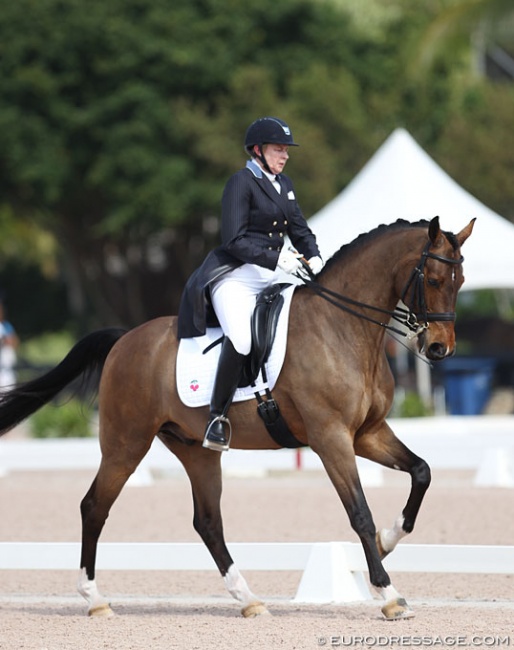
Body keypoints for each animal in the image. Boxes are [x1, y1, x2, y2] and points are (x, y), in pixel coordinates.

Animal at [0, 216, 472, 616]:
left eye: (461, 281)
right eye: (433, 280)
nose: (439, 348)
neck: (343, 329)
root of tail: (124, 339)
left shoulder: (367, 433)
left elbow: (422, 471)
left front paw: (388, 539)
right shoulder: (331, 438)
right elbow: (359, 511)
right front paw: (389, 593)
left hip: (197, 450)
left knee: (208, 521)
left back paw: (249, 599)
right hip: (125, 444)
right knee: (95, 506)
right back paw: (95, 599)